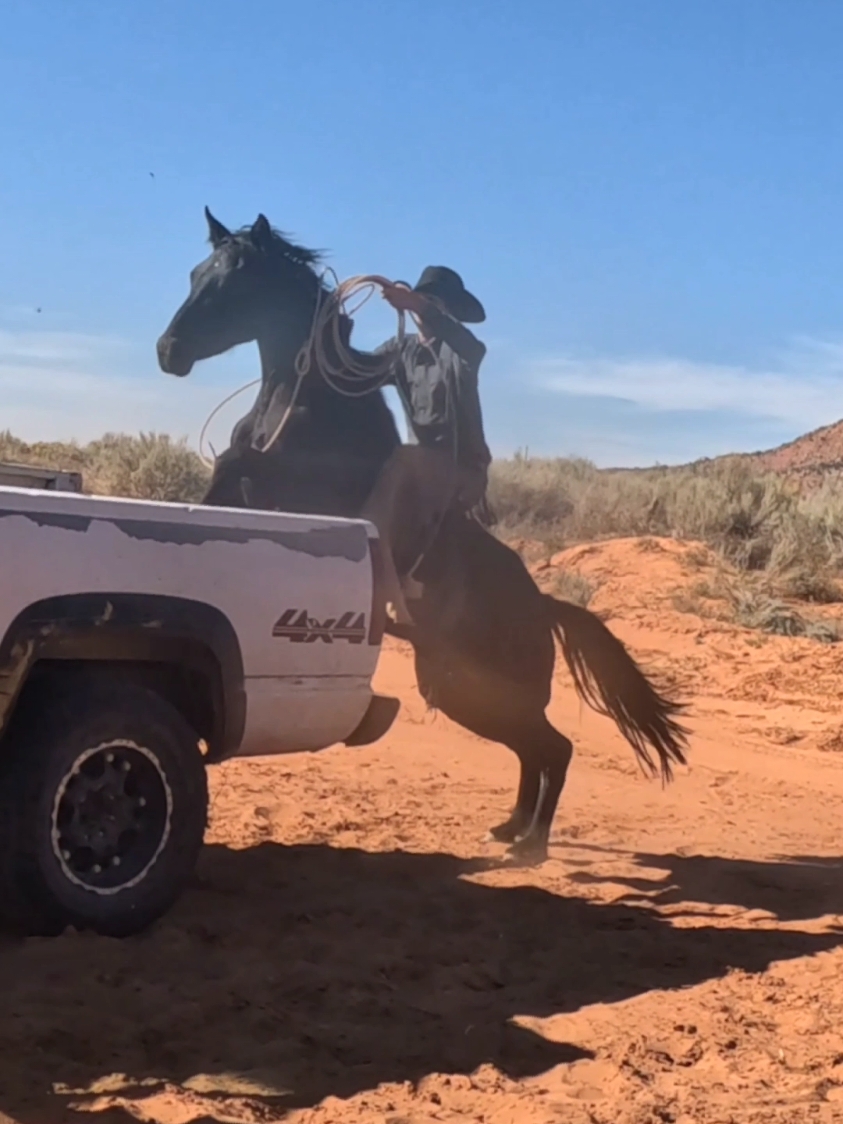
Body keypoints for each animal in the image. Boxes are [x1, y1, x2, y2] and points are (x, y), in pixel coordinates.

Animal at [157, 209, 689, 864]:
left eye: (235, 279)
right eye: (196, 272)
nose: (169, 351)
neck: (307, 404)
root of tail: (544, 606)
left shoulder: (291, 493)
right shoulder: (240, 480)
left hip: (482, 692)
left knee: (554, 748)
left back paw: (532, 844)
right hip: (462, 689)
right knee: (536, 748)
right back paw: (511, 827)